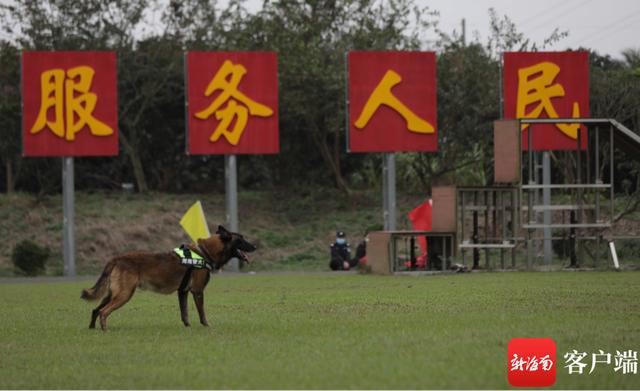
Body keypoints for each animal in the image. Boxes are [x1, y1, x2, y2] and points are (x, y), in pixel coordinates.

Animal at [81, 227, 256, 330]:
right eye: (241, 239)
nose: (255, 246)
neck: (204, 252)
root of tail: (117, 258)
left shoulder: (183, 292)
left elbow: (184, 313)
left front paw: (187, 327)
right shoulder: (198, 291)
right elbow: (202, 313)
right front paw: (206, 326)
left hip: (112, 294)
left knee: (95, 309)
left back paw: (92, 329)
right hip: (124, 294)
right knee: (103, 311)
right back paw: (104, 329)